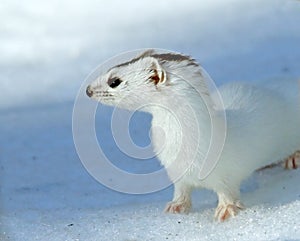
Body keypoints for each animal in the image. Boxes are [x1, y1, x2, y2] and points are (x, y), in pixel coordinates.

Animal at [85, 50, 300, 221]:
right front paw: (176, 206)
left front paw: (226, 210)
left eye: (114, 81)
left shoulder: (226, 174)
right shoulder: (176, 173)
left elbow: (228, 192)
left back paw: (293, 159)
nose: (88, 90)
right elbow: (182, 191)